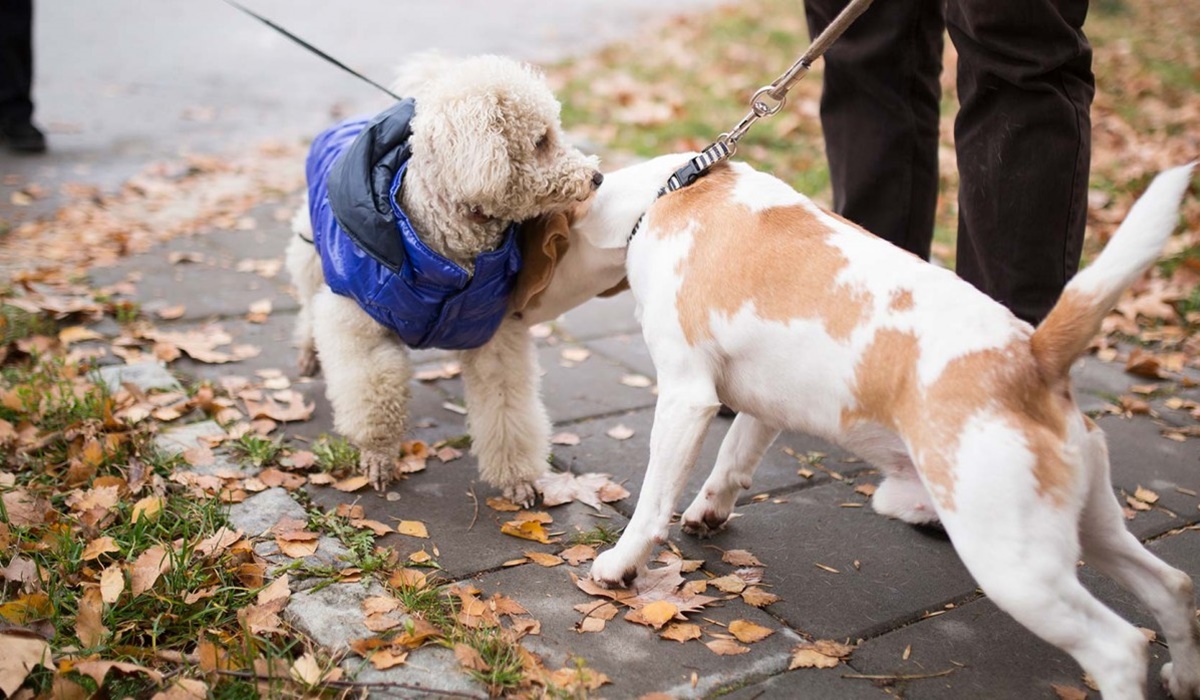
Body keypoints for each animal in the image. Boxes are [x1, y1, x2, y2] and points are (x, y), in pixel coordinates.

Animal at [286, 56, 604, 504]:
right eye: (541, 140)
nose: (596, 177)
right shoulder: (358, 323)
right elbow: (372, 395)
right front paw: (378, 457)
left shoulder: (495, 336)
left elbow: (507, 409)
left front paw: (517, 479)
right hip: (311, 252)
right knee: (307, 303)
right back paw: (307, 351)